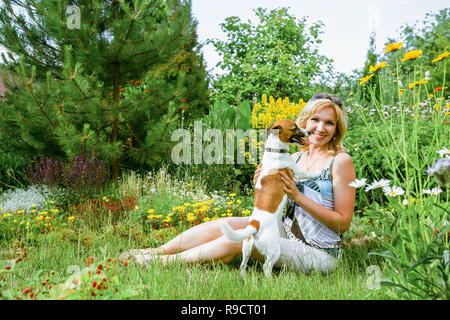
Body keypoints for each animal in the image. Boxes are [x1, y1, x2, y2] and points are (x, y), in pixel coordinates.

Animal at [219, 120, 320, 278]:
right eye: (294, 128)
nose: (309, 132)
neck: (275, 151)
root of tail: (255, 224)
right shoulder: (297, 171)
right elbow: (308, 173)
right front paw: (319, 171)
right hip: (274, 250)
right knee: (267, 267)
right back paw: (272, 281)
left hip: (246, 247)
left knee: (243, 265)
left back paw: (244, 279)